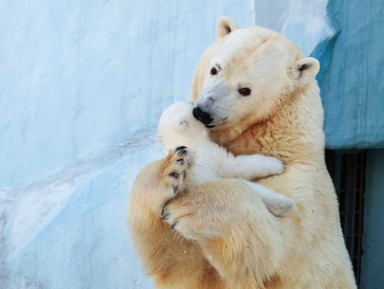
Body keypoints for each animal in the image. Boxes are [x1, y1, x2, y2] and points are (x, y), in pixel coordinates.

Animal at [158, 100, 296, 216]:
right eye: (191, 107)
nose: (194, 103)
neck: (182, 139)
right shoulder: (207, 154)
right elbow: (232, 165)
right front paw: (275, 164)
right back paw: (284, 204)